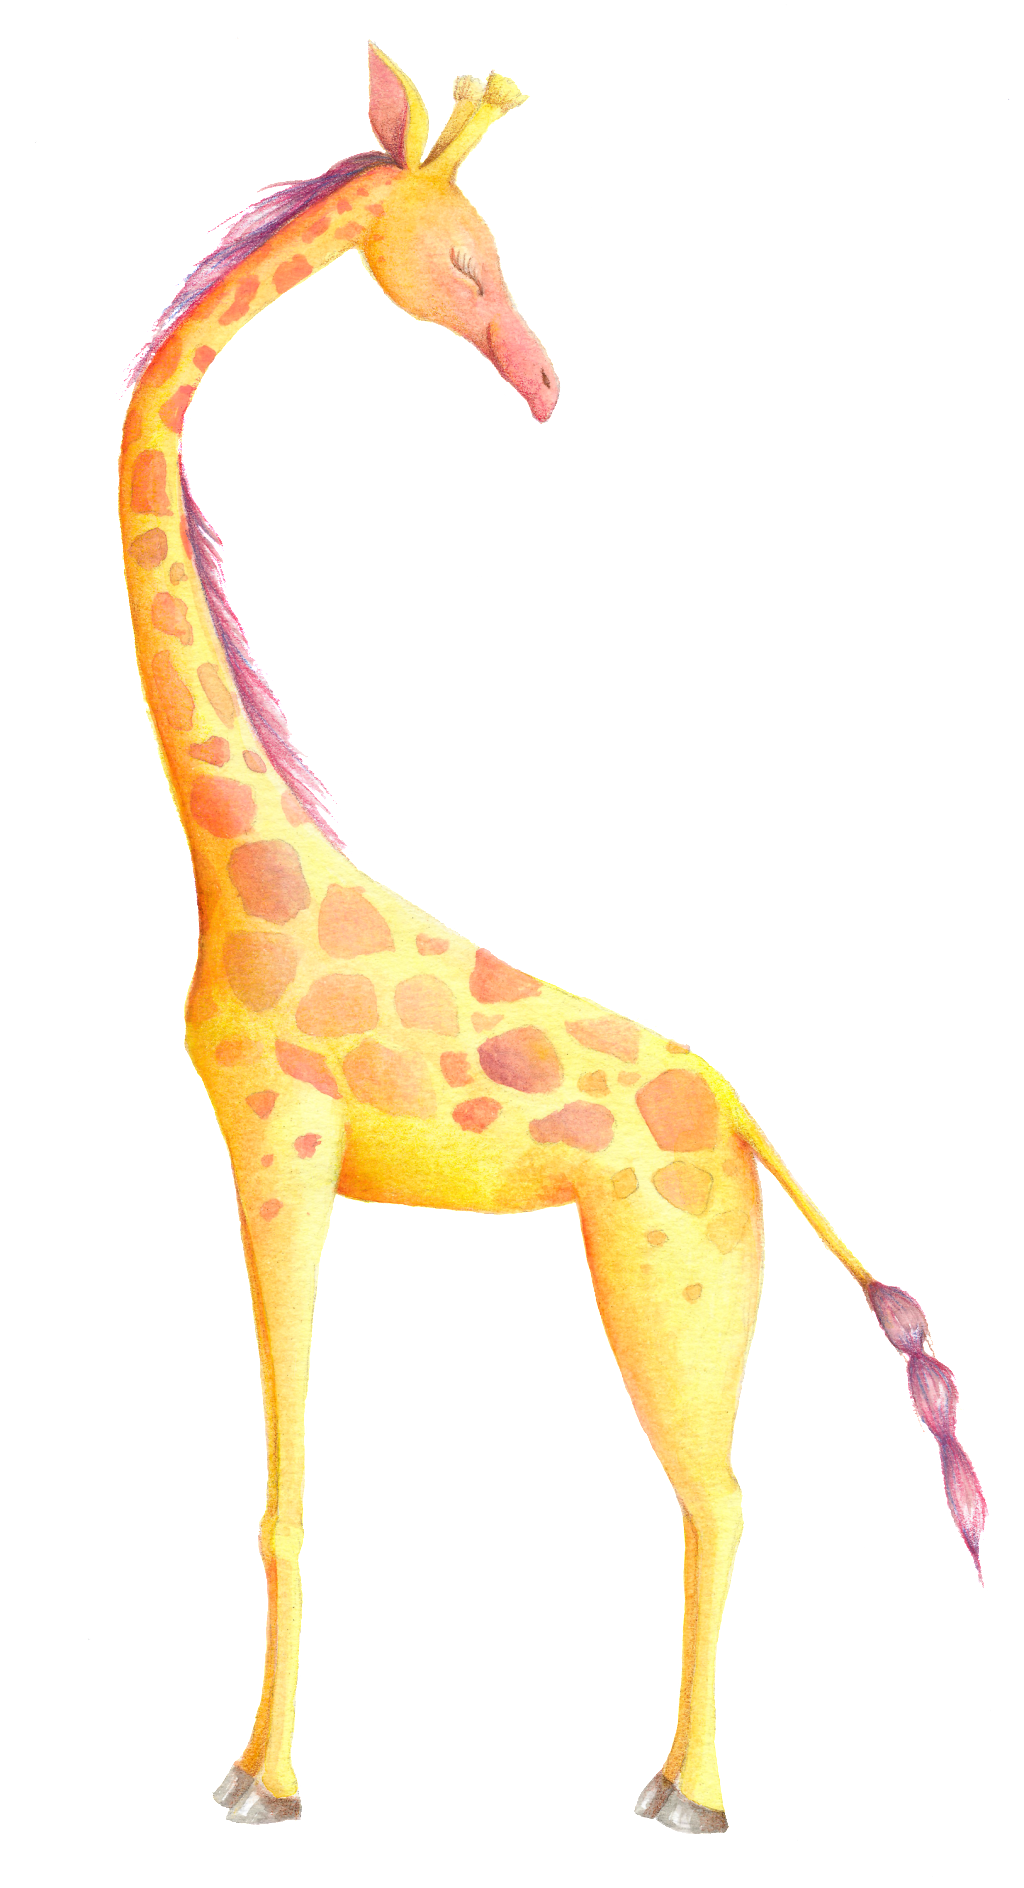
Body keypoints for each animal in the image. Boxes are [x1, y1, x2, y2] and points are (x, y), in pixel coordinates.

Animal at [105, 36, 990, 1835]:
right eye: (473, 253)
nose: (540, 387)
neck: (245, 864)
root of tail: (748, 1123)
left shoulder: (281, 1142)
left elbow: (286, 1492)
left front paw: (262, 1783)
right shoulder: (270, 1151)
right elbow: (290, 1487)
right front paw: (256, 1766)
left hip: (672, 1265)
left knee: (720, 1491)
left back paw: (686, 1795)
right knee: (716, 1495)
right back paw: (671, 1778)